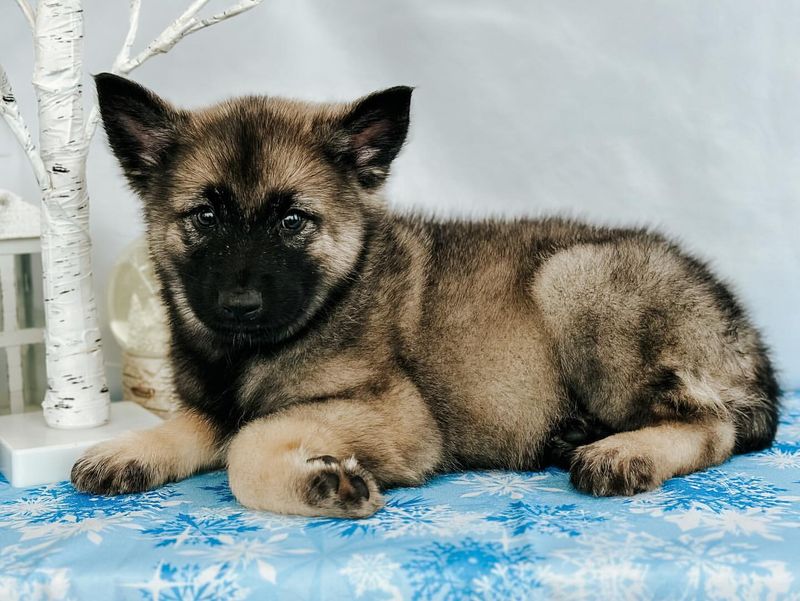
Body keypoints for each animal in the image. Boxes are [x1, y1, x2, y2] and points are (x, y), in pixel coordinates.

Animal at [72, 74, 780, 516]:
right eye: (206, 218)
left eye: (292, 221)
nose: (239, 307)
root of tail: (744, 337)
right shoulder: (214, 400)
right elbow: (201, 422)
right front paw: (129, 450)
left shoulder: (398, 416)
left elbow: (248, 439)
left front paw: (320, 485)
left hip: (576, 277)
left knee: (710, 423)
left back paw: (623, 450)